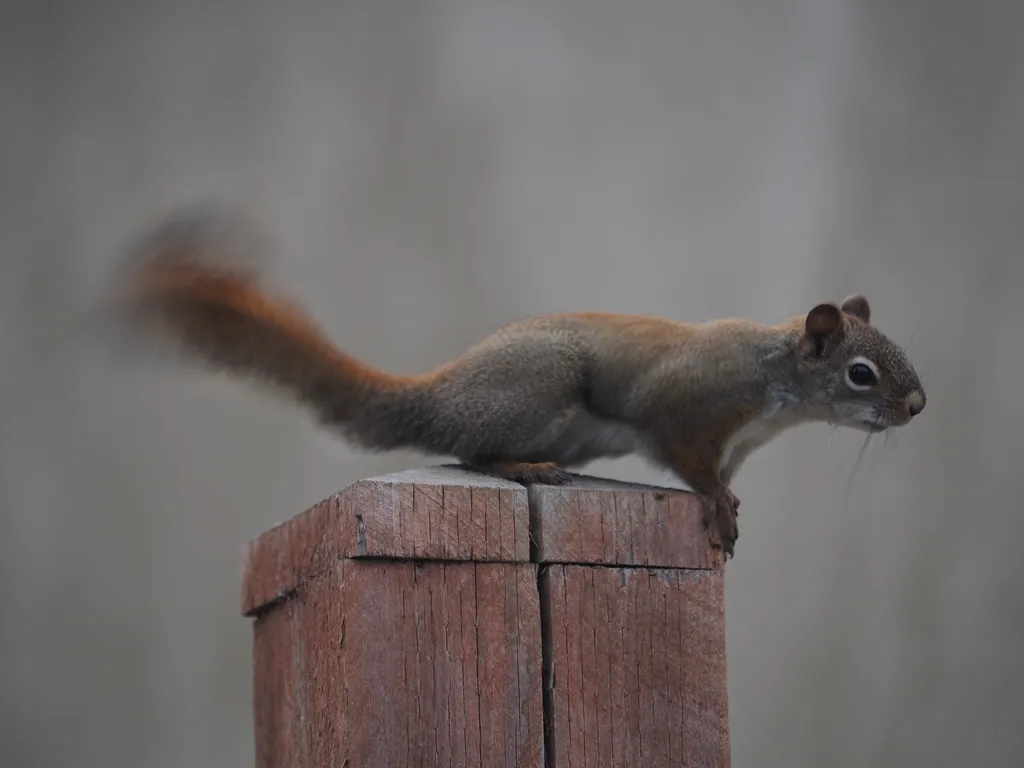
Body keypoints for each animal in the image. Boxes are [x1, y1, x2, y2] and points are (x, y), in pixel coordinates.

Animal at [105, 207, 929, 561]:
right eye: (861, 374)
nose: (918, 406)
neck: (774, 385)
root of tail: (437, 394)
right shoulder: (689, 411)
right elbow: (692, 466)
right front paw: (718, 508)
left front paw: (733, 503)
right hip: (540, 392)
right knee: (469, 451)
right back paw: (524, 465)